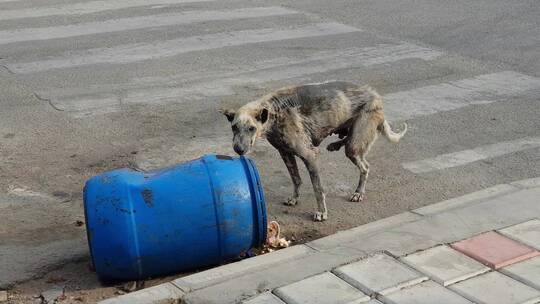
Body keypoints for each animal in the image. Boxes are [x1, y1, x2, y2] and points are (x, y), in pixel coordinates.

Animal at [219, 81, 404, 221]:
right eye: (234, 127)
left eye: (251, 128)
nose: (238, 149)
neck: (274, 111)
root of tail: (376, 96)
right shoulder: (285, 153)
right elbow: (296, 179)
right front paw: (294, 198)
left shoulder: (310, 156)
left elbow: (318, 189)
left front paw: (322, 212)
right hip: (352, 139)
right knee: (349, 143)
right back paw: (335, 144)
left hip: (354, 146)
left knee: (365, 167)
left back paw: (358, 193)